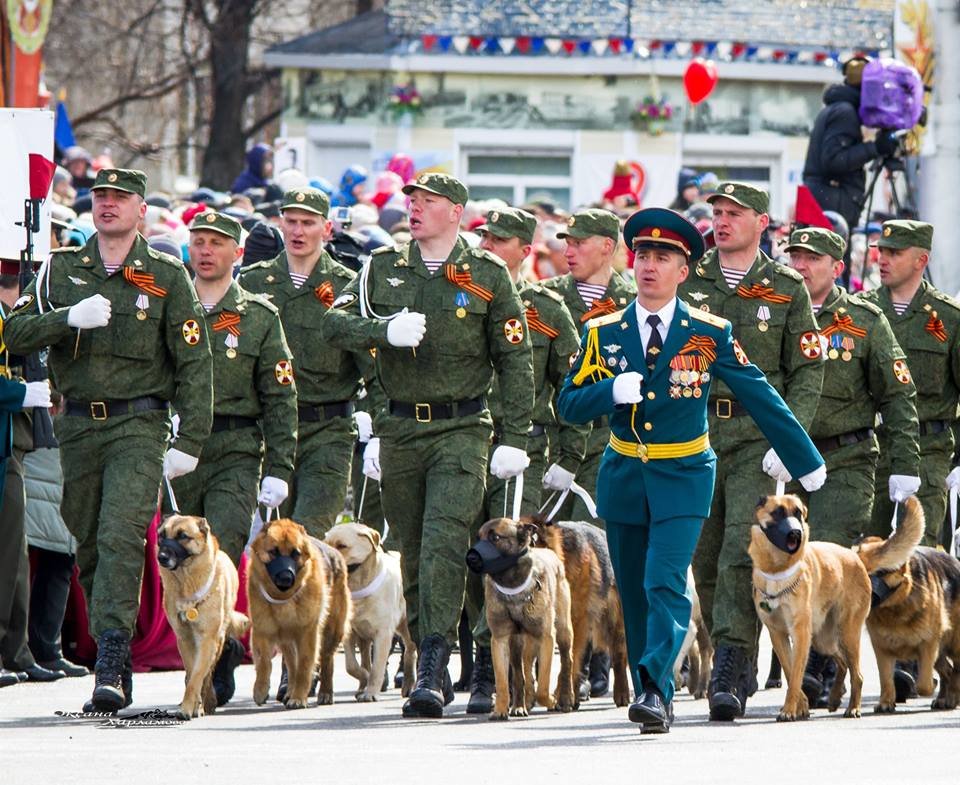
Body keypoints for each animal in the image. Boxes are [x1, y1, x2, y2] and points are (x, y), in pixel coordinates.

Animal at [158, 512, 249, 720]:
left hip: (217, 641)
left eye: (183, 536)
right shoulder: (184, 640)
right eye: (161, 536)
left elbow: (197, 677)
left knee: (207, 674)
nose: (161, 557)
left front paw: (189, 707)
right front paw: (191, 705)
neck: (186, 584)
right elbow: (191, 674)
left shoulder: (207, 639)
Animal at [248, 516, 352, 708]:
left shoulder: (307, 634)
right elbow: (264, 662)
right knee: (291, 664)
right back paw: (289, 691)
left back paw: (325, 692)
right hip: (287, 639)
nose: (286, 577)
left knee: (327, 660)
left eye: (295, 553)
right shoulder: (263, 631)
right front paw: (260, 689)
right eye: (273, 552)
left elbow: (304, 666)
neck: (284, 597)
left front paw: (299, 697)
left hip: (331, 632)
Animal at [480, 516, 576, 720]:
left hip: (563, 631)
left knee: (567, 661)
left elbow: (544, 685)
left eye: (495, 537)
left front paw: (551, 699)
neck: (513, 588)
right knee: (521, 671)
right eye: (479, 536)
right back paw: (520, 704)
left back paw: (565, 698)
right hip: (520, 644)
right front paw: (500, 709)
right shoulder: (499, 640)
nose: (472, 556)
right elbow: (503, 681)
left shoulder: (547, 638)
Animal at [752, 494, 872, 720]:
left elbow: (796, 675)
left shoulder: (800, 633)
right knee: (842, 663)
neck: (777, 570)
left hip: (846, 634)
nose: (795, 532)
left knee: (857, 674)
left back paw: (853, 707)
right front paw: (801, 706)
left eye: (798, 513)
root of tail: (856, 557)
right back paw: (834, 698)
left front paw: (790, 709)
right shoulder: (778, 634)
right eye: (777, 513)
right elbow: (790, 671)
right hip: (822, 639)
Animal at [856, 500, 960, 712]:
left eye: (883, 572)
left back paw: (953, 695)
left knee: (954, 671)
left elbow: (924, 685)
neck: (896, 609)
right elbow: (886, 680)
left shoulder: (928, 646)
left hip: (955, 645)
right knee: (948, 671)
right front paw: (886, 702)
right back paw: (945, 698)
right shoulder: (882, 651)